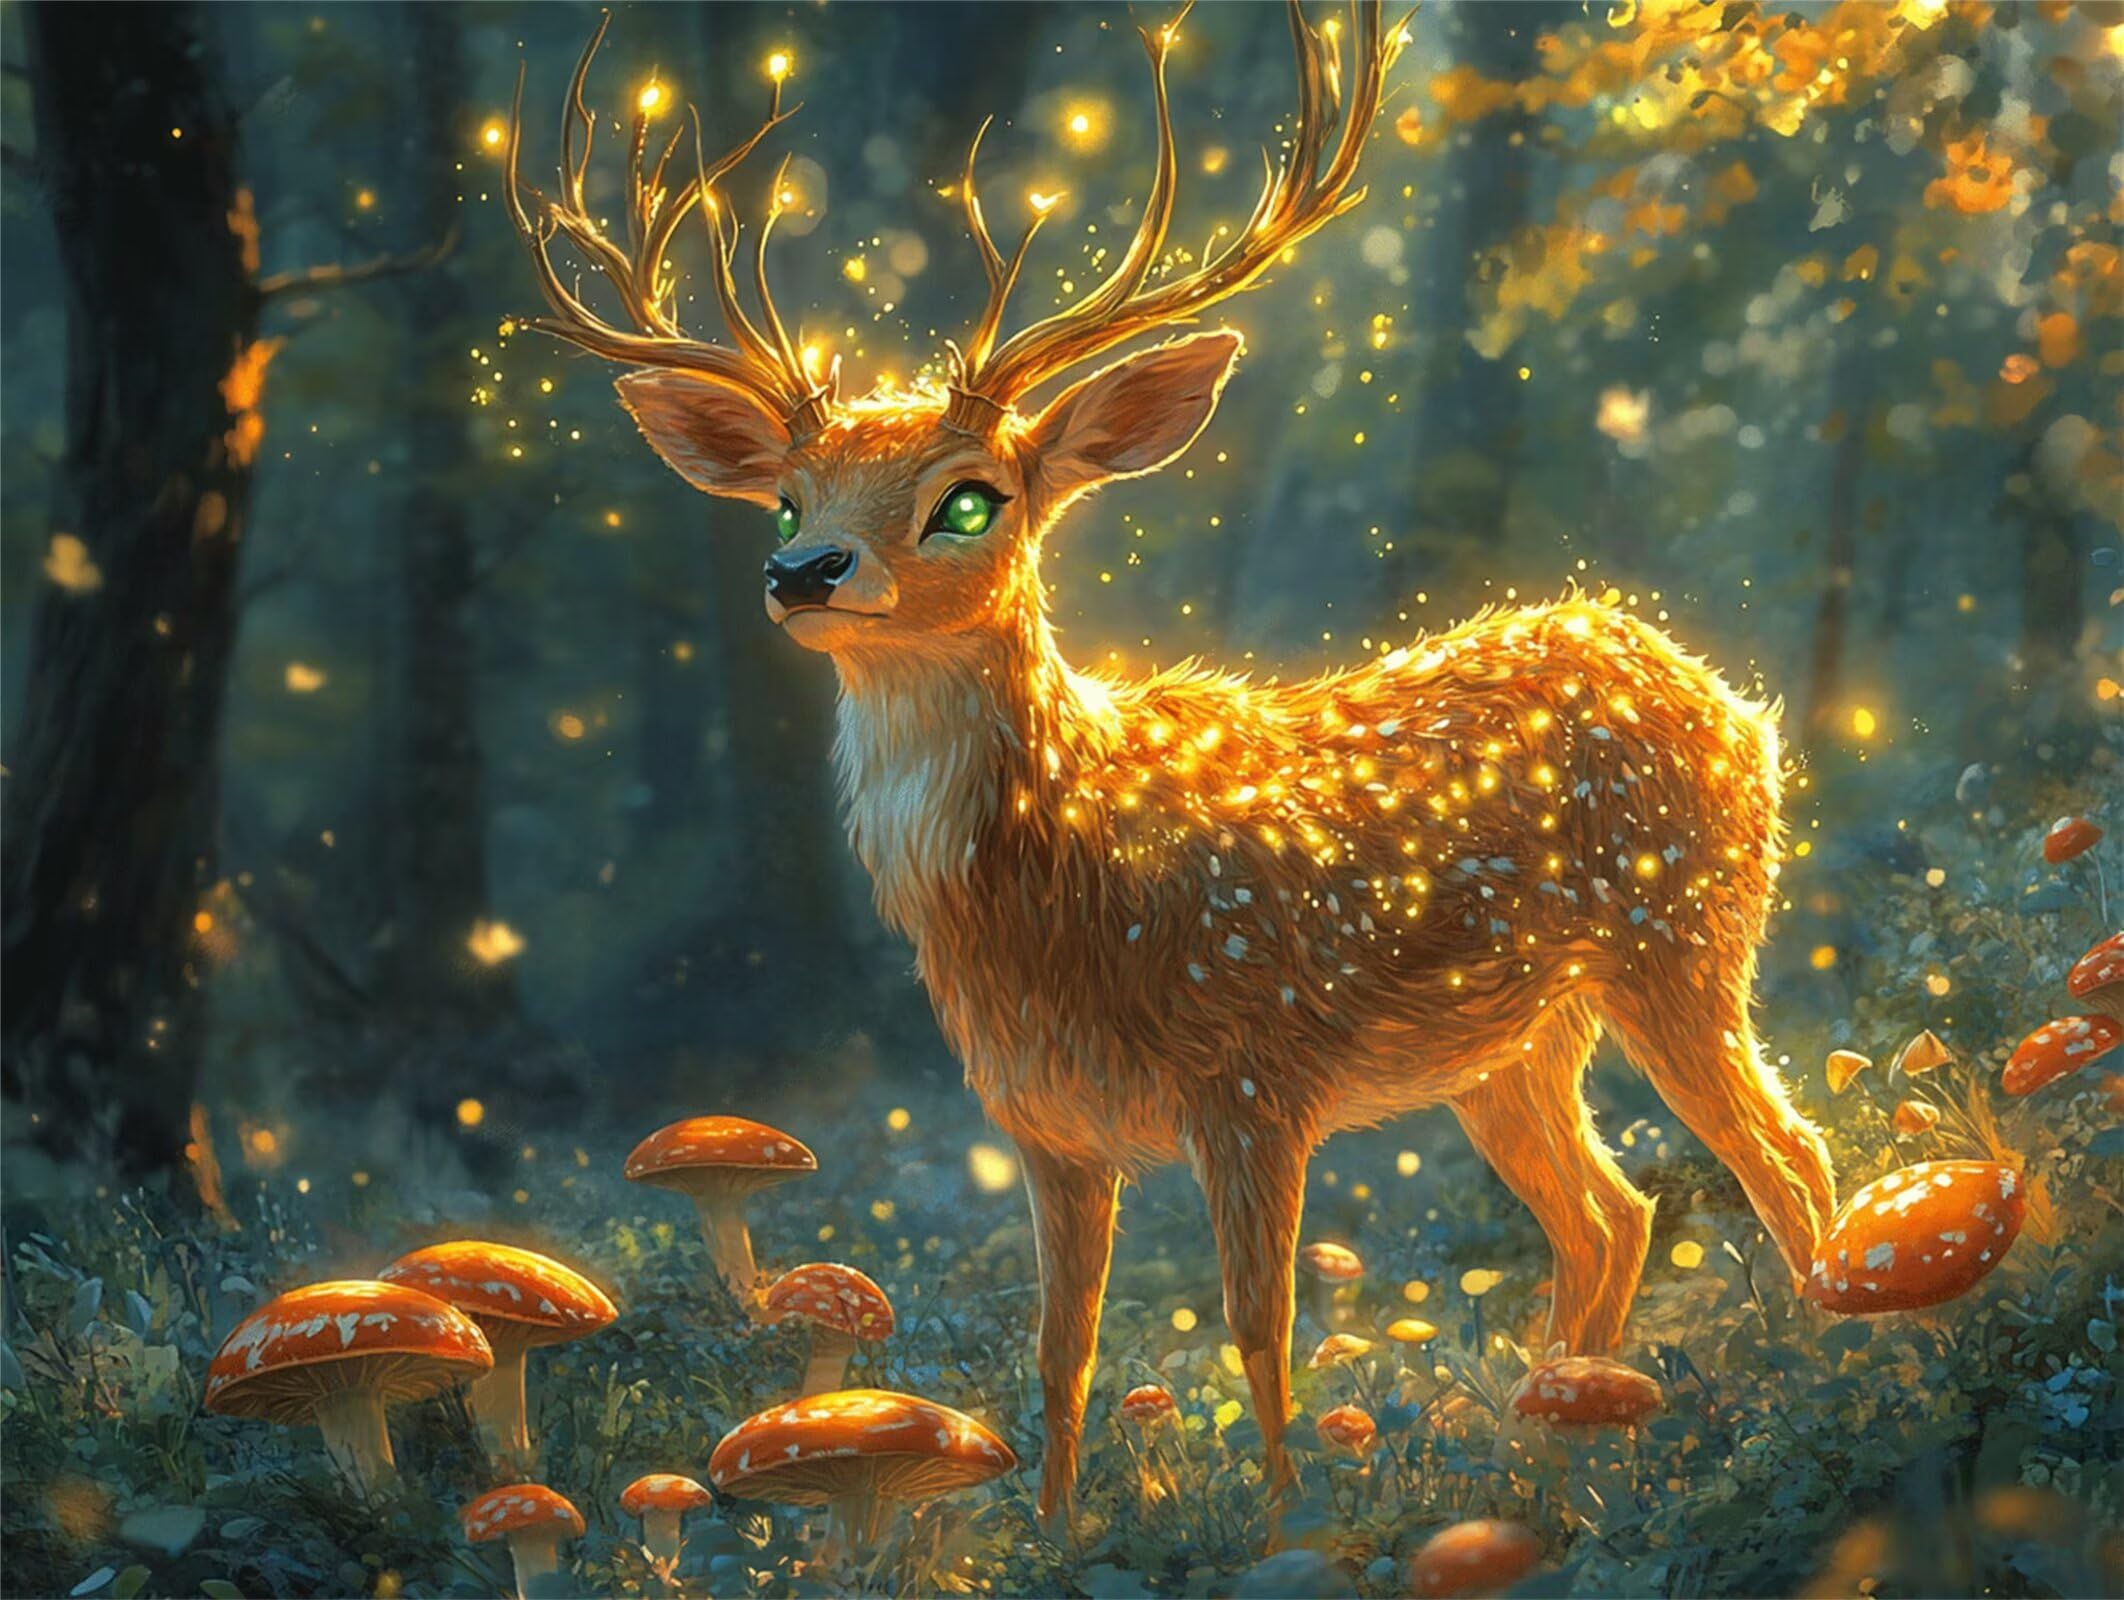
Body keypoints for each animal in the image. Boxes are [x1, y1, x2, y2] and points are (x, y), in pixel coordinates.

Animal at [505, 1, 1837, 1527]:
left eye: (973, 497)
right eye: (786, 497)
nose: (802, 571)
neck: (1061, 894)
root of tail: (1729, 699)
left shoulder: (1255, 1071)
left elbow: (1258, 1326)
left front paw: (1281, 1523)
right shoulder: (1041, 1122)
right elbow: (1061, 1345)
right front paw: (1055, 1531)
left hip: (1684, 938)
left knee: (1786, 1152)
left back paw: (1832, 1376)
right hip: (1513, 1040)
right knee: (1611, 1213)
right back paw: (1542, 1455)